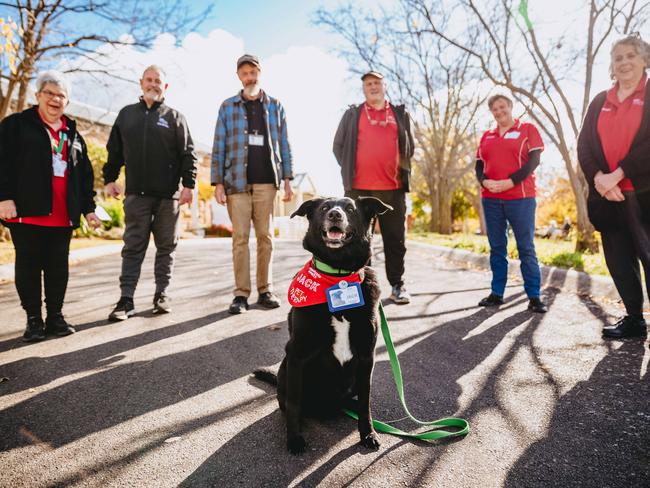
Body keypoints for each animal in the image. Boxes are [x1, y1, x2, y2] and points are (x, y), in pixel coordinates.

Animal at [253, 196, 390, 456]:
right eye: (325, 207)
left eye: (350, 208)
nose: (335, 214)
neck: (338, 278)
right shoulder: (297, 354)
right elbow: (294, 404)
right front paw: (294, 438)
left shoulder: (367, 356)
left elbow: (366, 402)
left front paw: (368, 433)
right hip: (286, 366)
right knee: (290, 403)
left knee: (357, 398)